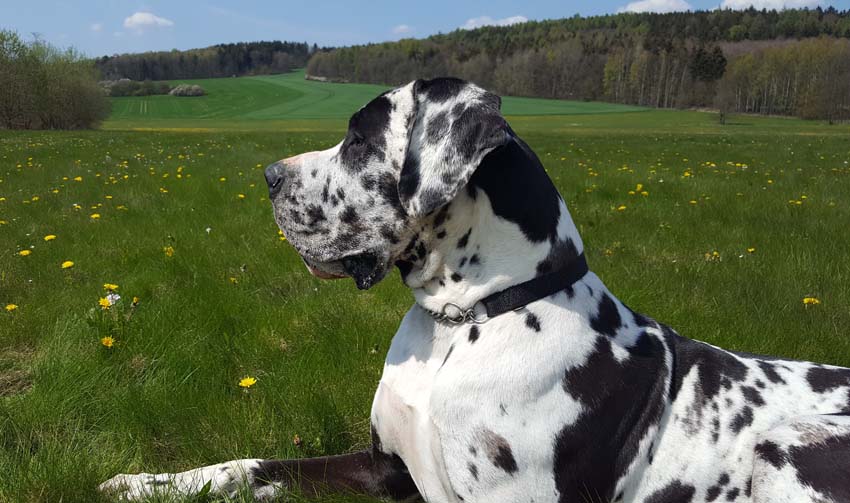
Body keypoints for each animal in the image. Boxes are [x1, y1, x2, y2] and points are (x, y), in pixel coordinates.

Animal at [100, 78, 850, 503]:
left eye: (358, 139)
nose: (268, 176)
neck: (461, 321)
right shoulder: (384, 468)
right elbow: (249, 465)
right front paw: (147, 483)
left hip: (785, 444)